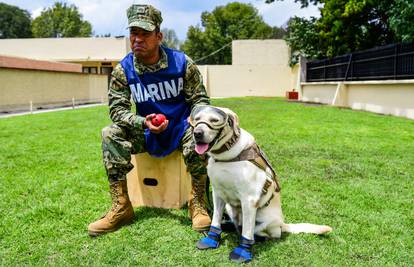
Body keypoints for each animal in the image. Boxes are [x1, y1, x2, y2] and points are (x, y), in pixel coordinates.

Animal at [189, 106, 332, 264]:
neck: (225, 157)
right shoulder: (218, 194)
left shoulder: (249, 200)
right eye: (196, 119)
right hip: (230, 207)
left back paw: (258, 238)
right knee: (238, 224)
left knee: (266, 233)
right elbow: (215, 220)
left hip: (265, 222)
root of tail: (282, 223)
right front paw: (211, 239)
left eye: (215, 120)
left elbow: (246, 232)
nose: (197, 133)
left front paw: (242, 252)